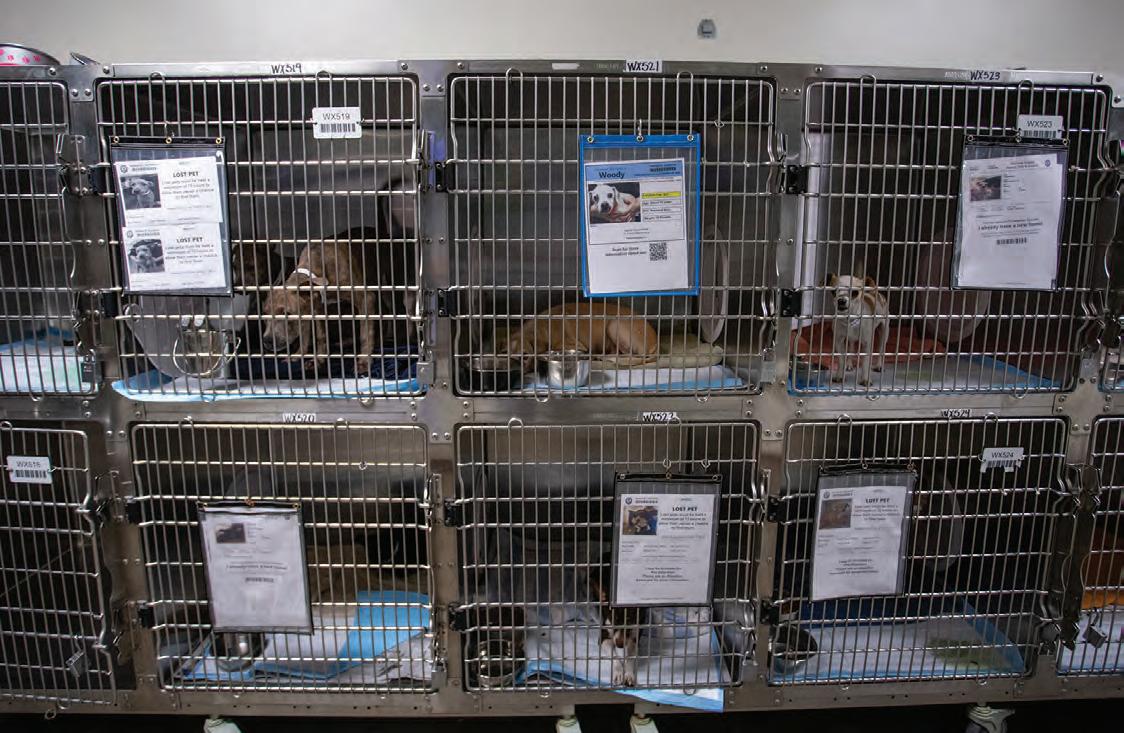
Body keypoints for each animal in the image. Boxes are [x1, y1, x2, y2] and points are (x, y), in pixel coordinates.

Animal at [259, 239, 375, 374]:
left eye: (287, 314)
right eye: (264, 314)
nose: (267, 340)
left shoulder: (366, 299)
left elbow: (365, 334)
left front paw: (364, 362)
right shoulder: (317, 308)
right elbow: (320, 336)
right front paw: (314, 360)